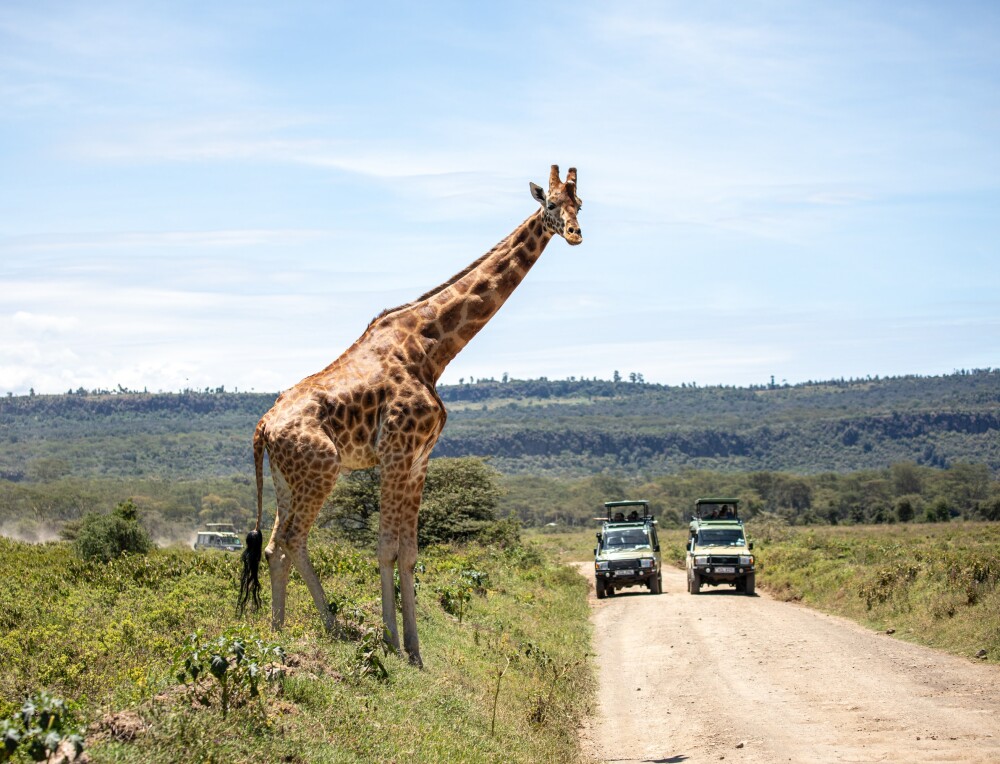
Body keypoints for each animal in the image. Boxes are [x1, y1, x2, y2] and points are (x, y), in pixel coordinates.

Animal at [237, 165, 583, 667]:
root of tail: (263, 426)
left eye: (581, 204)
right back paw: (299, 634)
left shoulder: (420, 461)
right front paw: (391, 642)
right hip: (320, 471)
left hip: (287, 478)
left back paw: (305, 629)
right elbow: (385, 549)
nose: (576, 234)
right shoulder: (396, 455)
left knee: (278, 545)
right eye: (552, 205)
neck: (431, 347)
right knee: (288, 542)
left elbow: (410, 553)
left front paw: (413, 651)